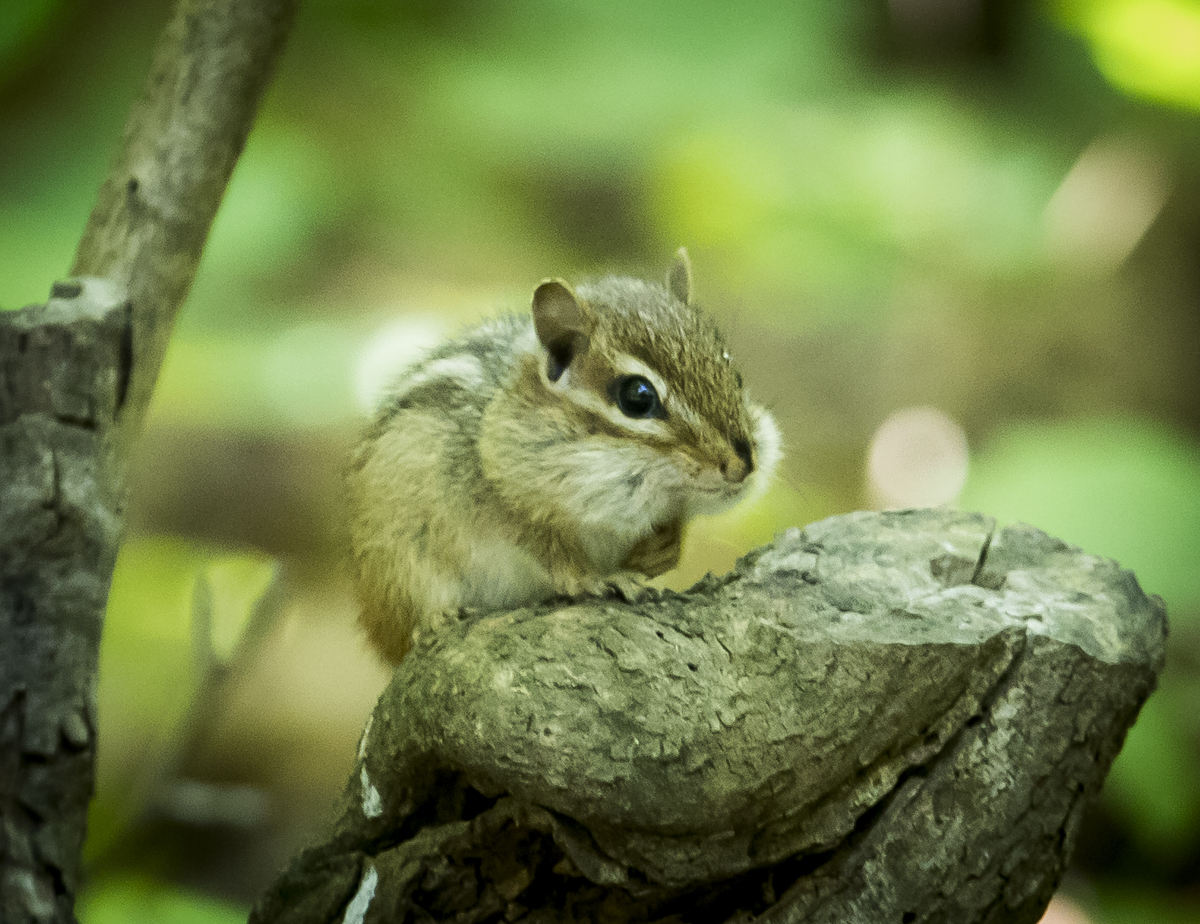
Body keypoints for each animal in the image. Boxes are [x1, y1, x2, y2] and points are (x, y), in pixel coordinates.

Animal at [346, 249, 781, 664]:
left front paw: (663, 548)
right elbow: (551, 552)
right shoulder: (503, 504)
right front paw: (600, 579)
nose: (743, 466)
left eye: (733, 374)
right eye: (637, 397)